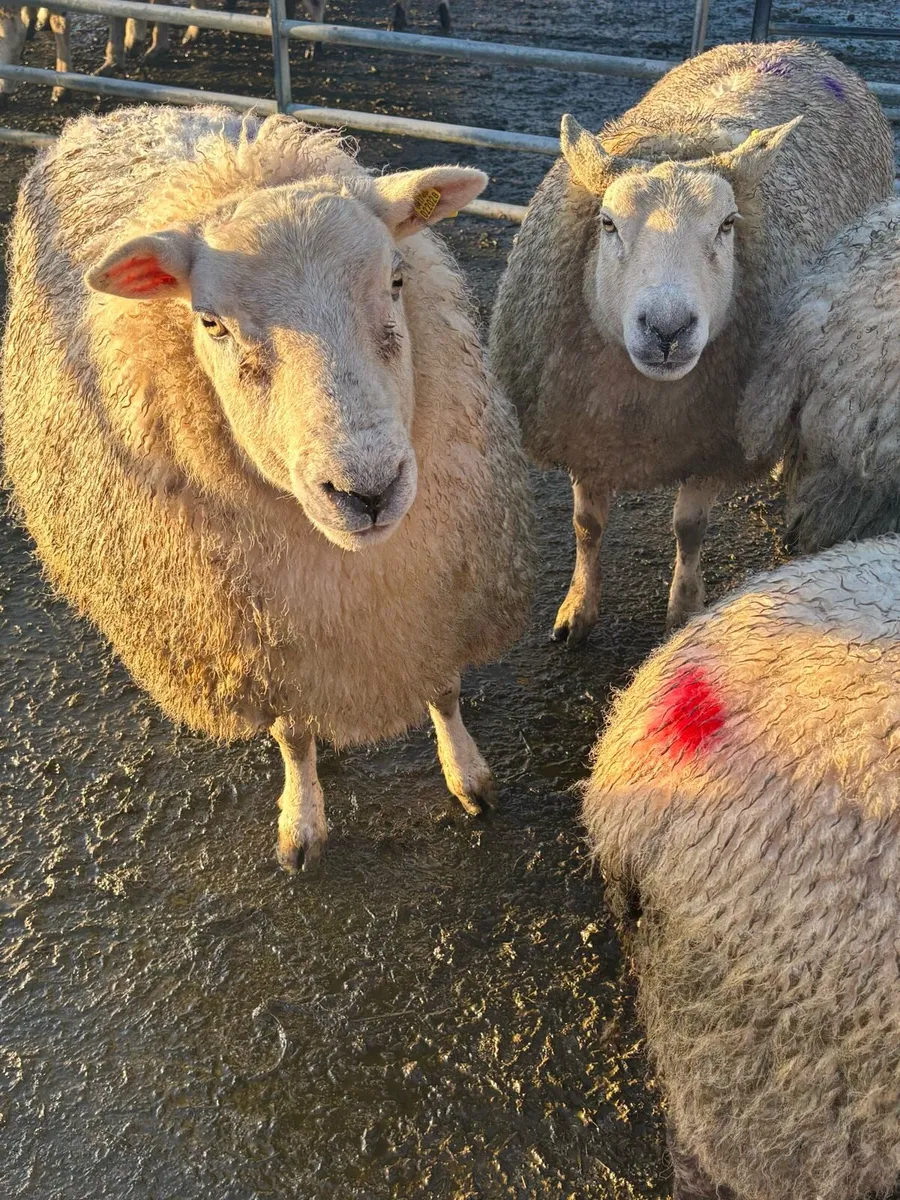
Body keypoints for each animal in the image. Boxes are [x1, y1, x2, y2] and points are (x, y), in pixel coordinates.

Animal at [0, 105, 533, 871]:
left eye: (397, 281)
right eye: (211, 322)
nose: (367, 489)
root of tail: (107, 113)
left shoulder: (434, 588)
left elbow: (443, 686)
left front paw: (468, 774)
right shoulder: (256, 638)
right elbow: (293, 734)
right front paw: (301, 820)